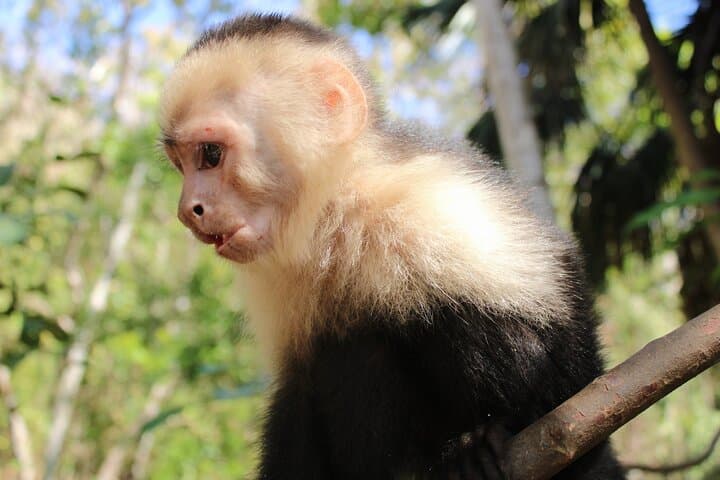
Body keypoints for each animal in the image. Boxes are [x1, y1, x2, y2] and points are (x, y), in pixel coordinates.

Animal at [159, 13, 625, 479]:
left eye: (212, 154)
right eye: (181, 165)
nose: (186, 211)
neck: (334, 212)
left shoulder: (422, 203)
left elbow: (564, 340)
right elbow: (296, 390)